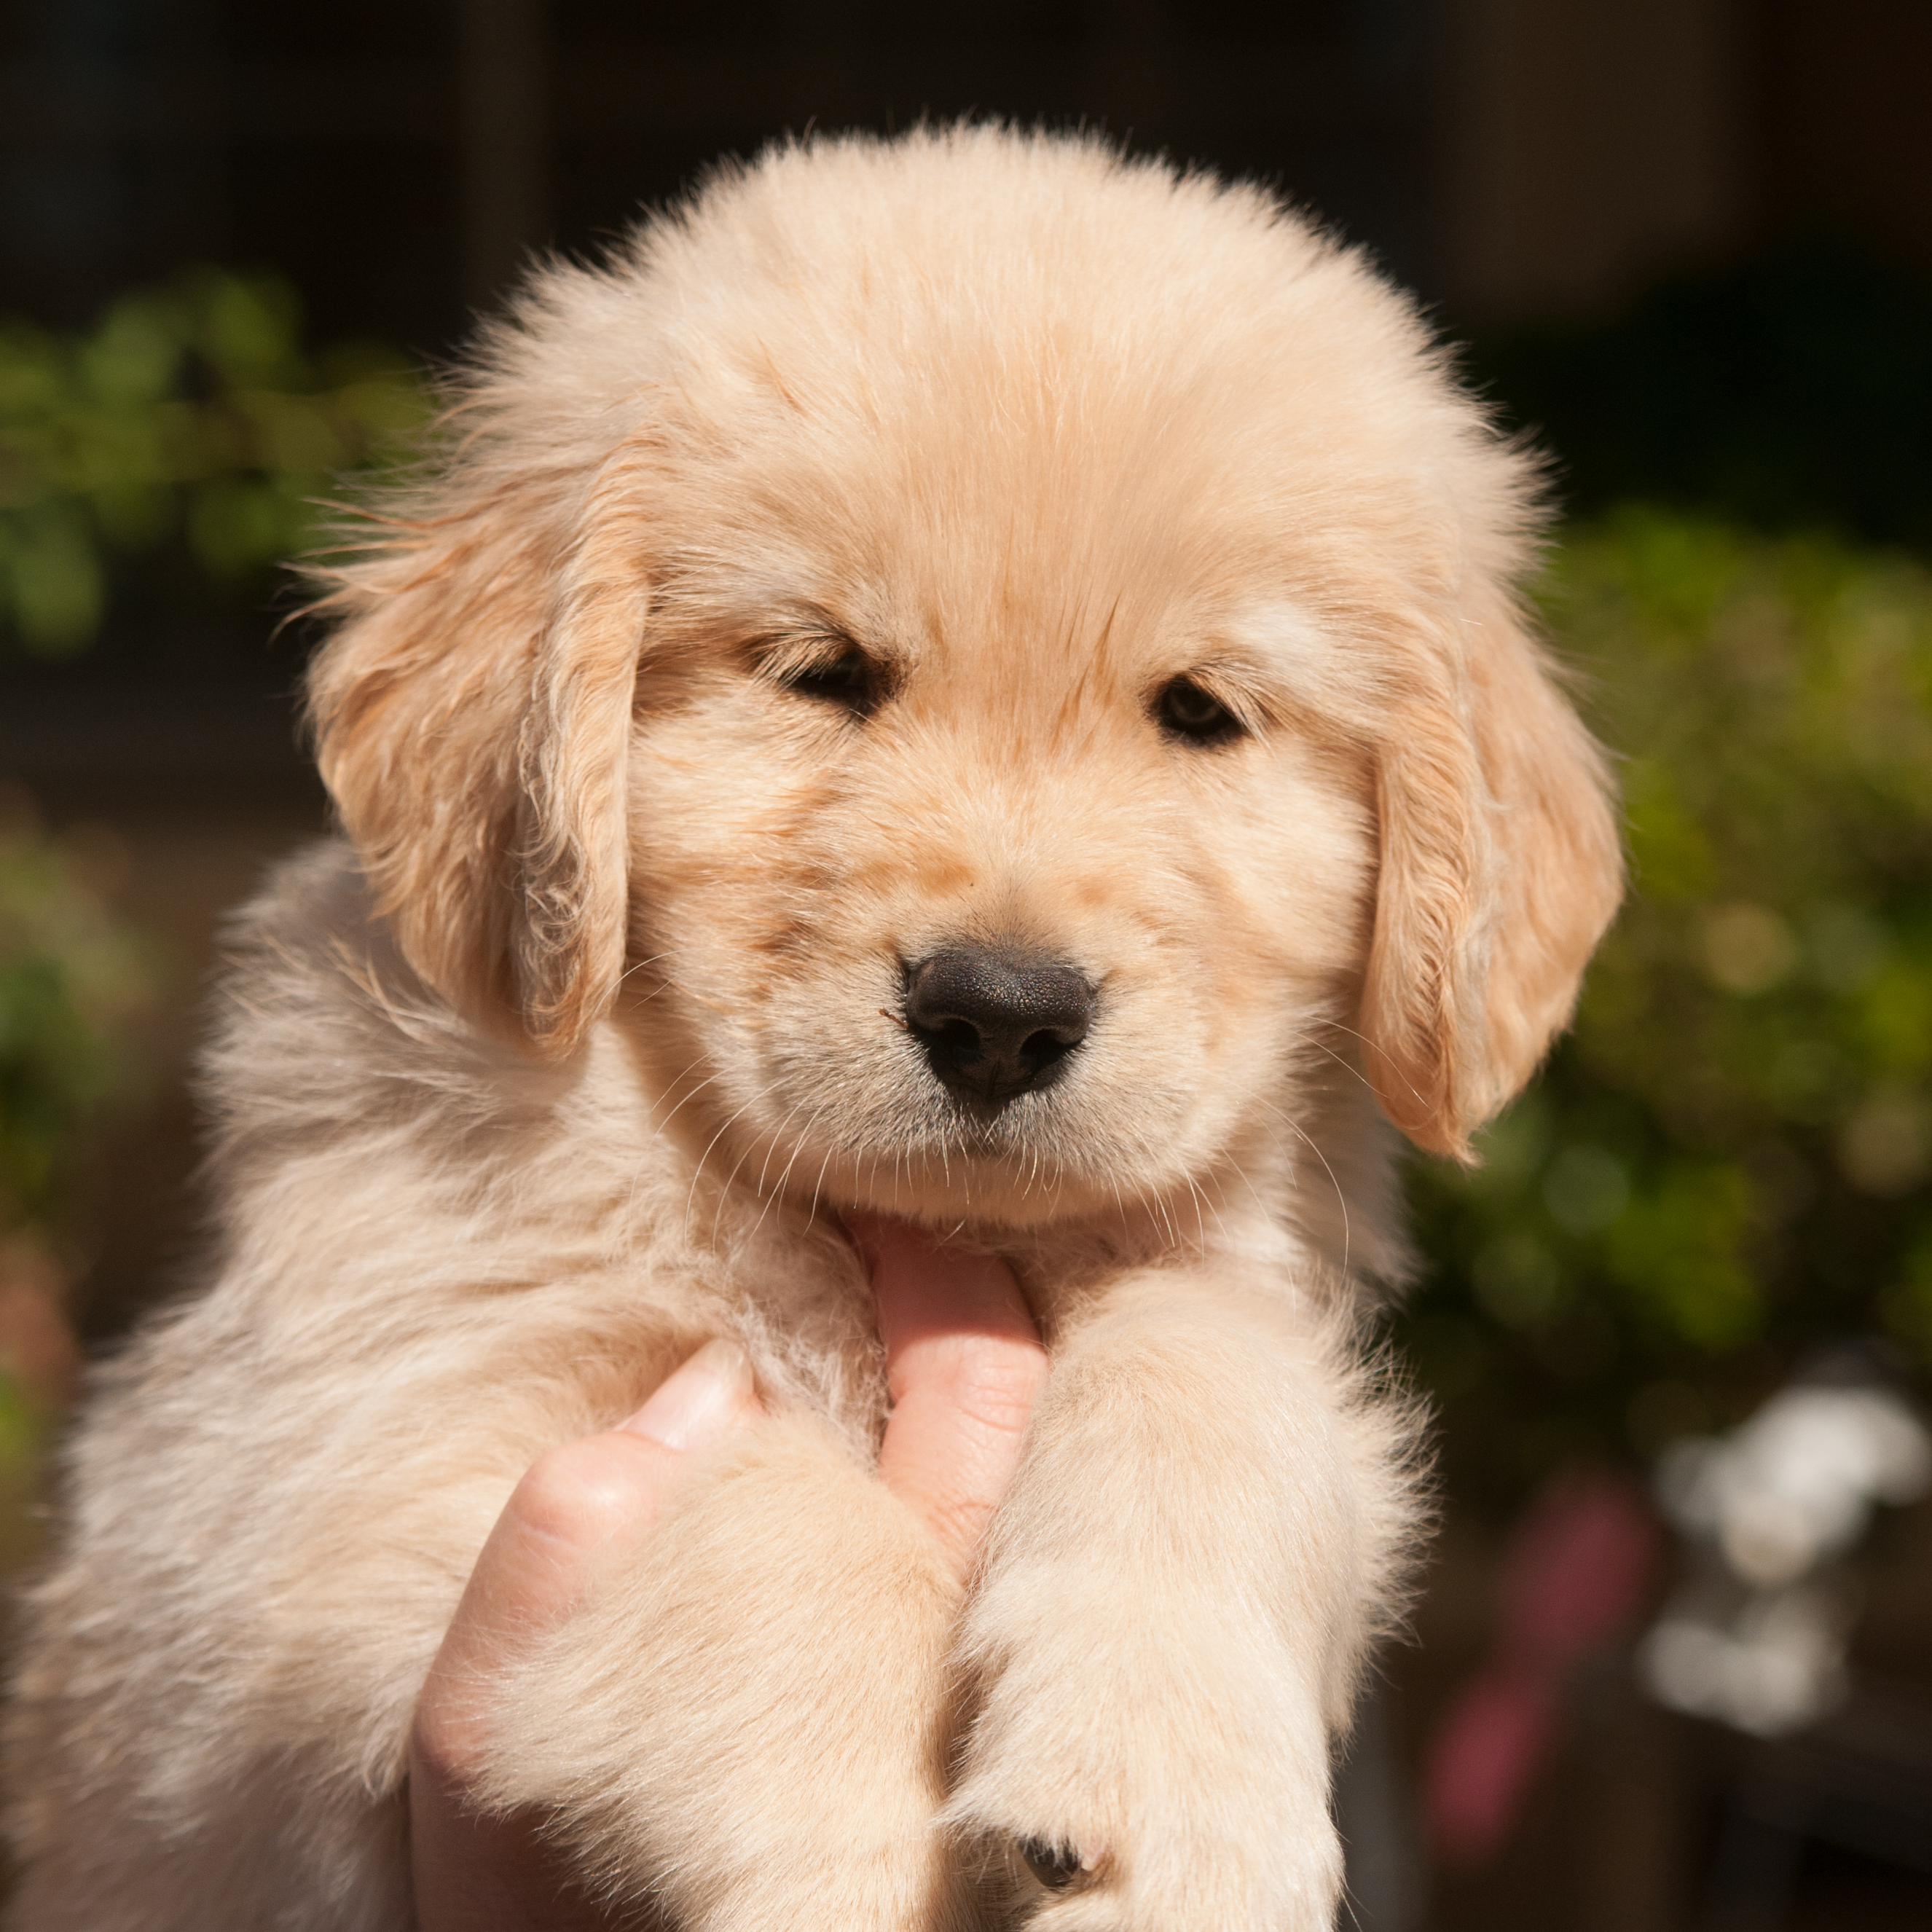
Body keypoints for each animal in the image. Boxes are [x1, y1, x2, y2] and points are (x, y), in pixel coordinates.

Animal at [7, 128, 1622, 1924]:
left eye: (1201, 713)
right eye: (825, 672)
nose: (998, 1016)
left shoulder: (1247, 1314)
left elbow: (1209, 1372)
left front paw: (1169, 1781)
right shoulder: (305, 1498)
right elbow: (774, 1517)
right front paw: (863, 1856)